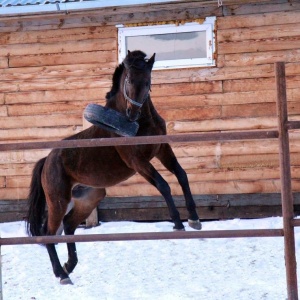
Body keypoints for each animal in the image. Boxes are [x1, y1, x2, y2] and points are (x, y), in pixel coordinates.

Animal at [27, 50, 202, 284]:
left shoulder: (162, 149)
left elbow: (181, 175)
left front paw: (194, 219)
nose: (132, 114)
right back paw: (61, 274)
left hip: (90, 198)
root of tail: (47, 160)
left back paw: (69, 266)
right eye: (128, 80)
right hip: (58, 201)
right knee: (49, 233)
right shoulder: (137, 161)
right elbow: (163, 185)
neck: (142, 124)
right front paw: (178, 224)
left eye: (147, 81)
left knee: (69, 225)